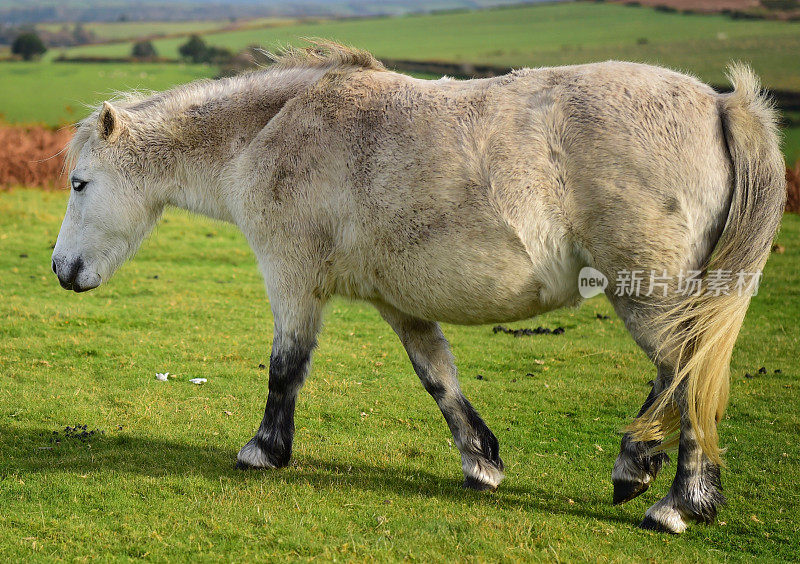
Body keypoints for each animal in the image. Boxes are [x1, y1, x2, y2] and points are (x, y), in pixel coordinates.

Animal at [53, 44, 784, 532]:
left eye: (80, 183)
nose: (61, 271)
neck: (273, 130)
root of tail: (721, 103)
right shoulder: (398, 305)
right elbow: (439, 379)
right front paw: (482, 464)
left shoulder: (293, 283)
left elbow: (286, 368)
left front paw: (263, 451)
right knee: (678, 376)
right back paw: (639, 470)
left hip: (647, 293)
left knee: (686, 375)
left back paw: (676, 503)